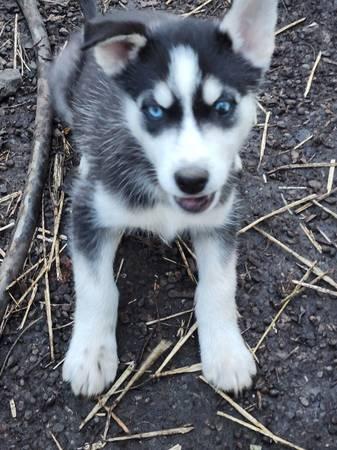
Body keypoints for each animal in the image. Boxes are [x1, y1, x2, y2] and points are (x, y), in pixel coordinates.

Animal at [49, 0, 276, 394]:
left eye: (223, 107)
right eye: (154, 110)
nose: (192, 180)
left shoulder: (220, 220)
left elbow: (220, 284)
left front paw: (226, 353)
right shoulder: (89, 212)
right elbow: (96, 287)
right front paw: (90, 354)